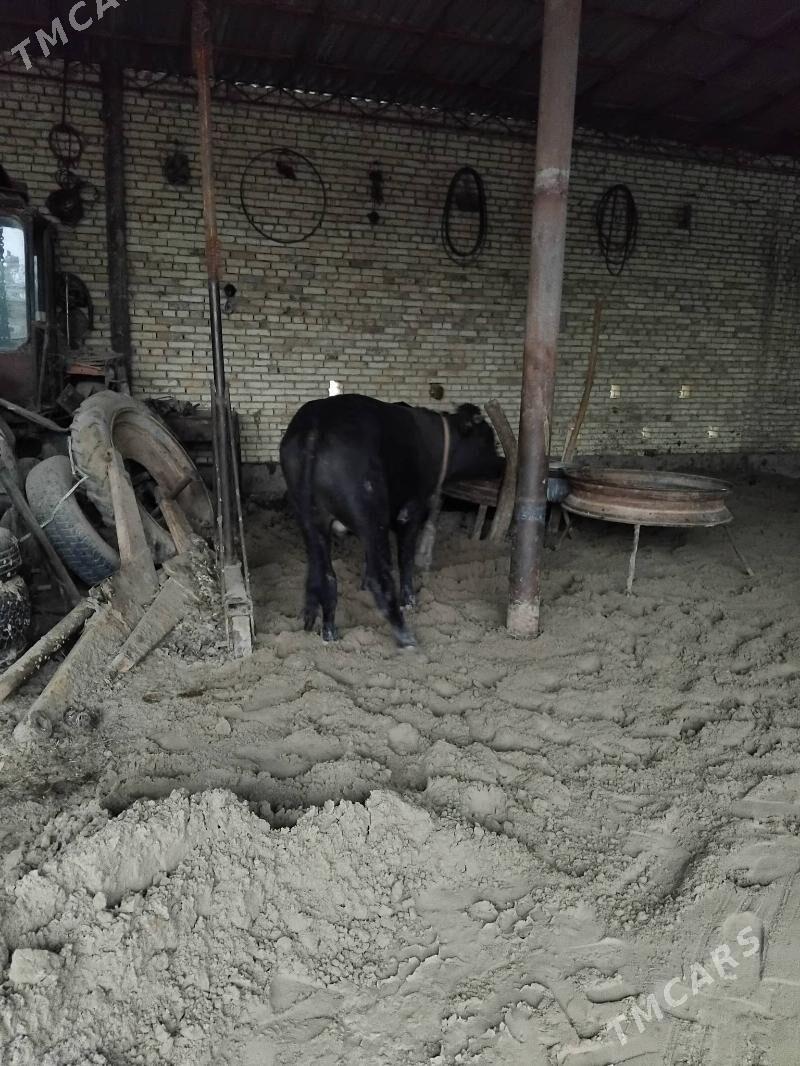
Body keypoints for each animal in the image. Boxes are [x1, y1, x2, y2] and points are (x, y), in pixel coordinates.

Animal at [280, 394, 503, 647]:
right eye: (488, 439)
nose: (502, 465)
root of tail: (315, 427)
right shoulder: (411, 509)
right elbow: (405, 558)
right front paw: (410, 600)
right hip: (369, 512)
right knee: (379, 576)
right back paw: (405, 635)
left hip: (310, 520)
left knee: (324, 574)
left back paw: (326, 629)